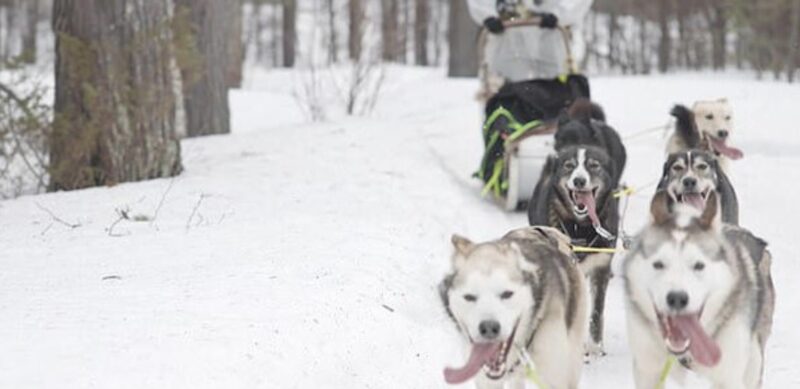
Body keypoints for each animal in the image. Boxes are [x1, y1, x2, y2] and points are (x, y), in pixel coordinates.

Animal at [532, 99, 624, 354]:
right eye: (569, 165)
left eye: (593, 165)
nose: (579, 180)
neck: (580, 227)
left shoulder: (600, 267)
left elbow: (596, 312)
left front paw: (594, 346)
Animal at [624, 192, 776, 386]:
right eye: (658, 264)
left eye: (698, 265)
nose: (677, 298)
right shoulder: (647, 371)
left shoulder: (728, 377)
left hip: (754, 360)